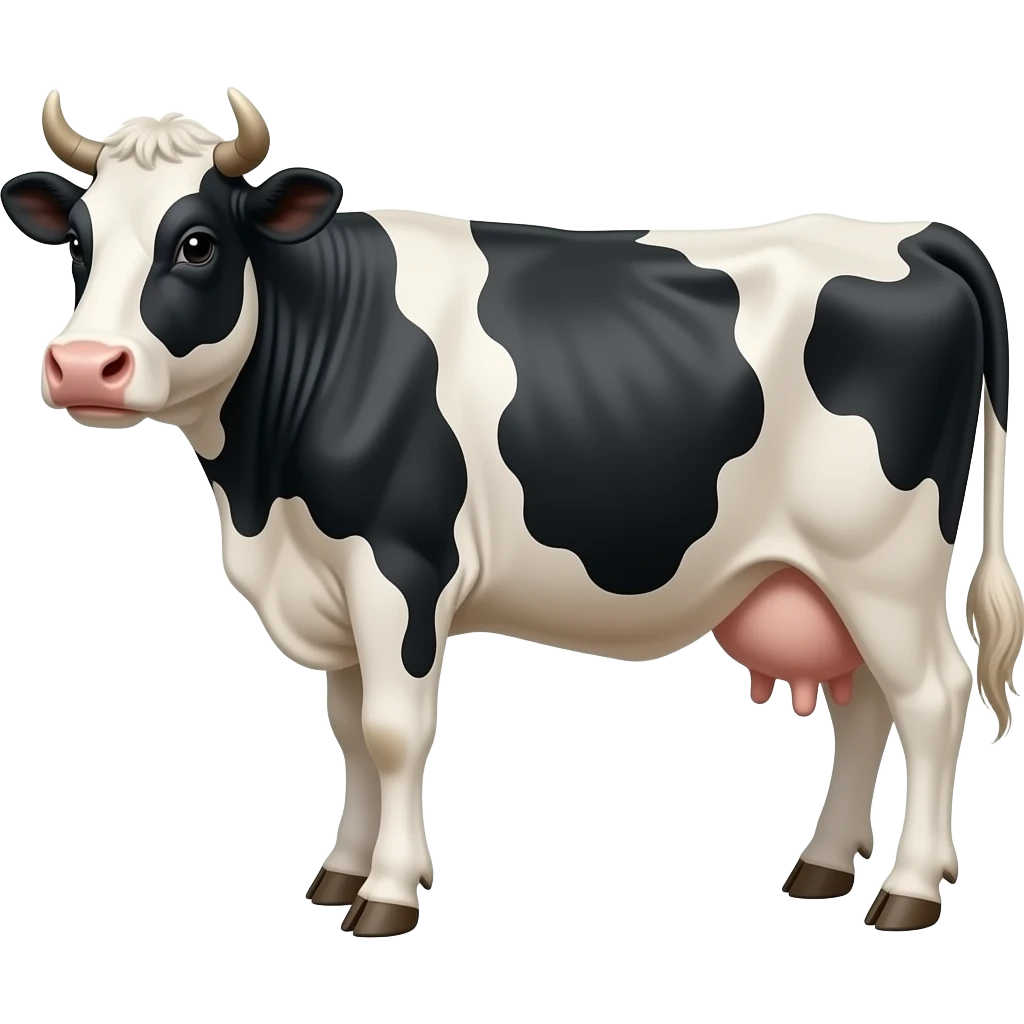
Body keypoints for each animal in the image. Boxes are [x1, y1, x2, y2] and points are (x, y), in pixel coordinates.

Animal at [4, 89, 1021, 938]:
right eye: (79, 241)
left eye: (198, 243)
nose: (83, 365)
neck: (261, 495)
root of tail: (914, 232)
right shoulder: (331, 582)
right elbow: (348, 731)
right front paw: (340, 874)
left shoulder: (400, 566)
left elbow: (392, 729)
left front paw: (386, 895)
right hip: (827, 575)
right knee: (866, 706)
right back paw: (822, 867)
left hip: (882, 561)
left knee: (932, 697)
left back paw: (909, 892)